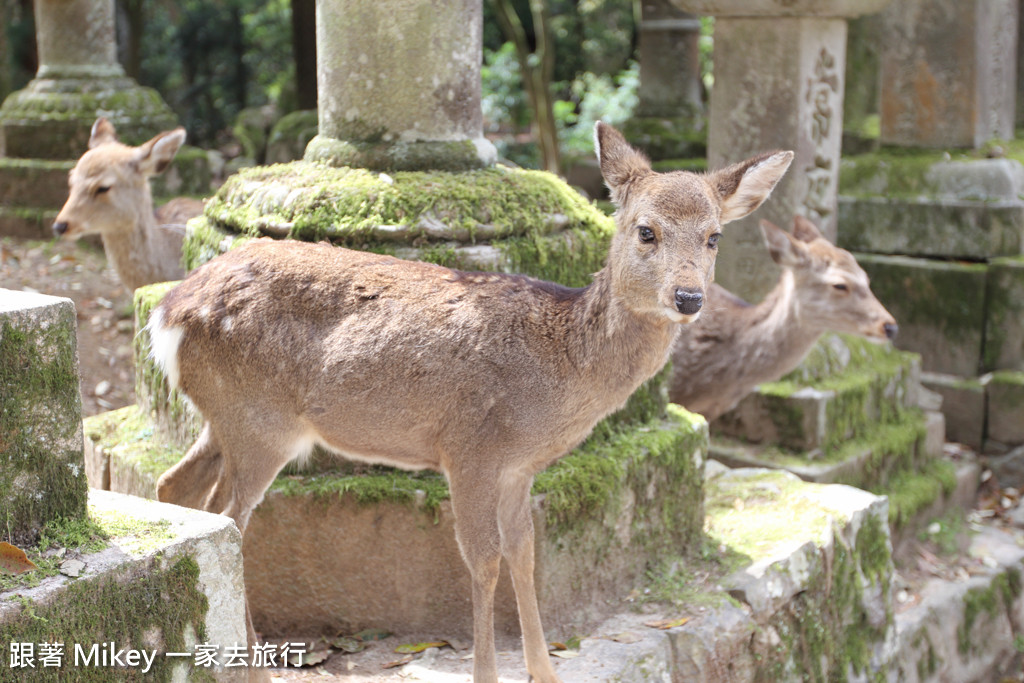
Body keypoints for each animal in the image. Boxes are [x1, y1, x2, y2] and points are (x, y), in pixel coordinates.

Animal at [148, 124, 794, 683]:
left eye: (713, 236)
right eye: (646, 230)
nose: (688, 297)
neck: (560, 370)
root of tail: (168, 312)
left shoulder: (520, 467)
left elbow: (526, 554)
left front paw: (545, 671)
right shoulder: (470, 448)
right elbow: (483, 561)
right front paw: (488, 672)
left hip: (225, 414)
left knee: (177, 487)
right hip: (261, 423)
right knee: (231, 519)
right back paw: (252, 666)